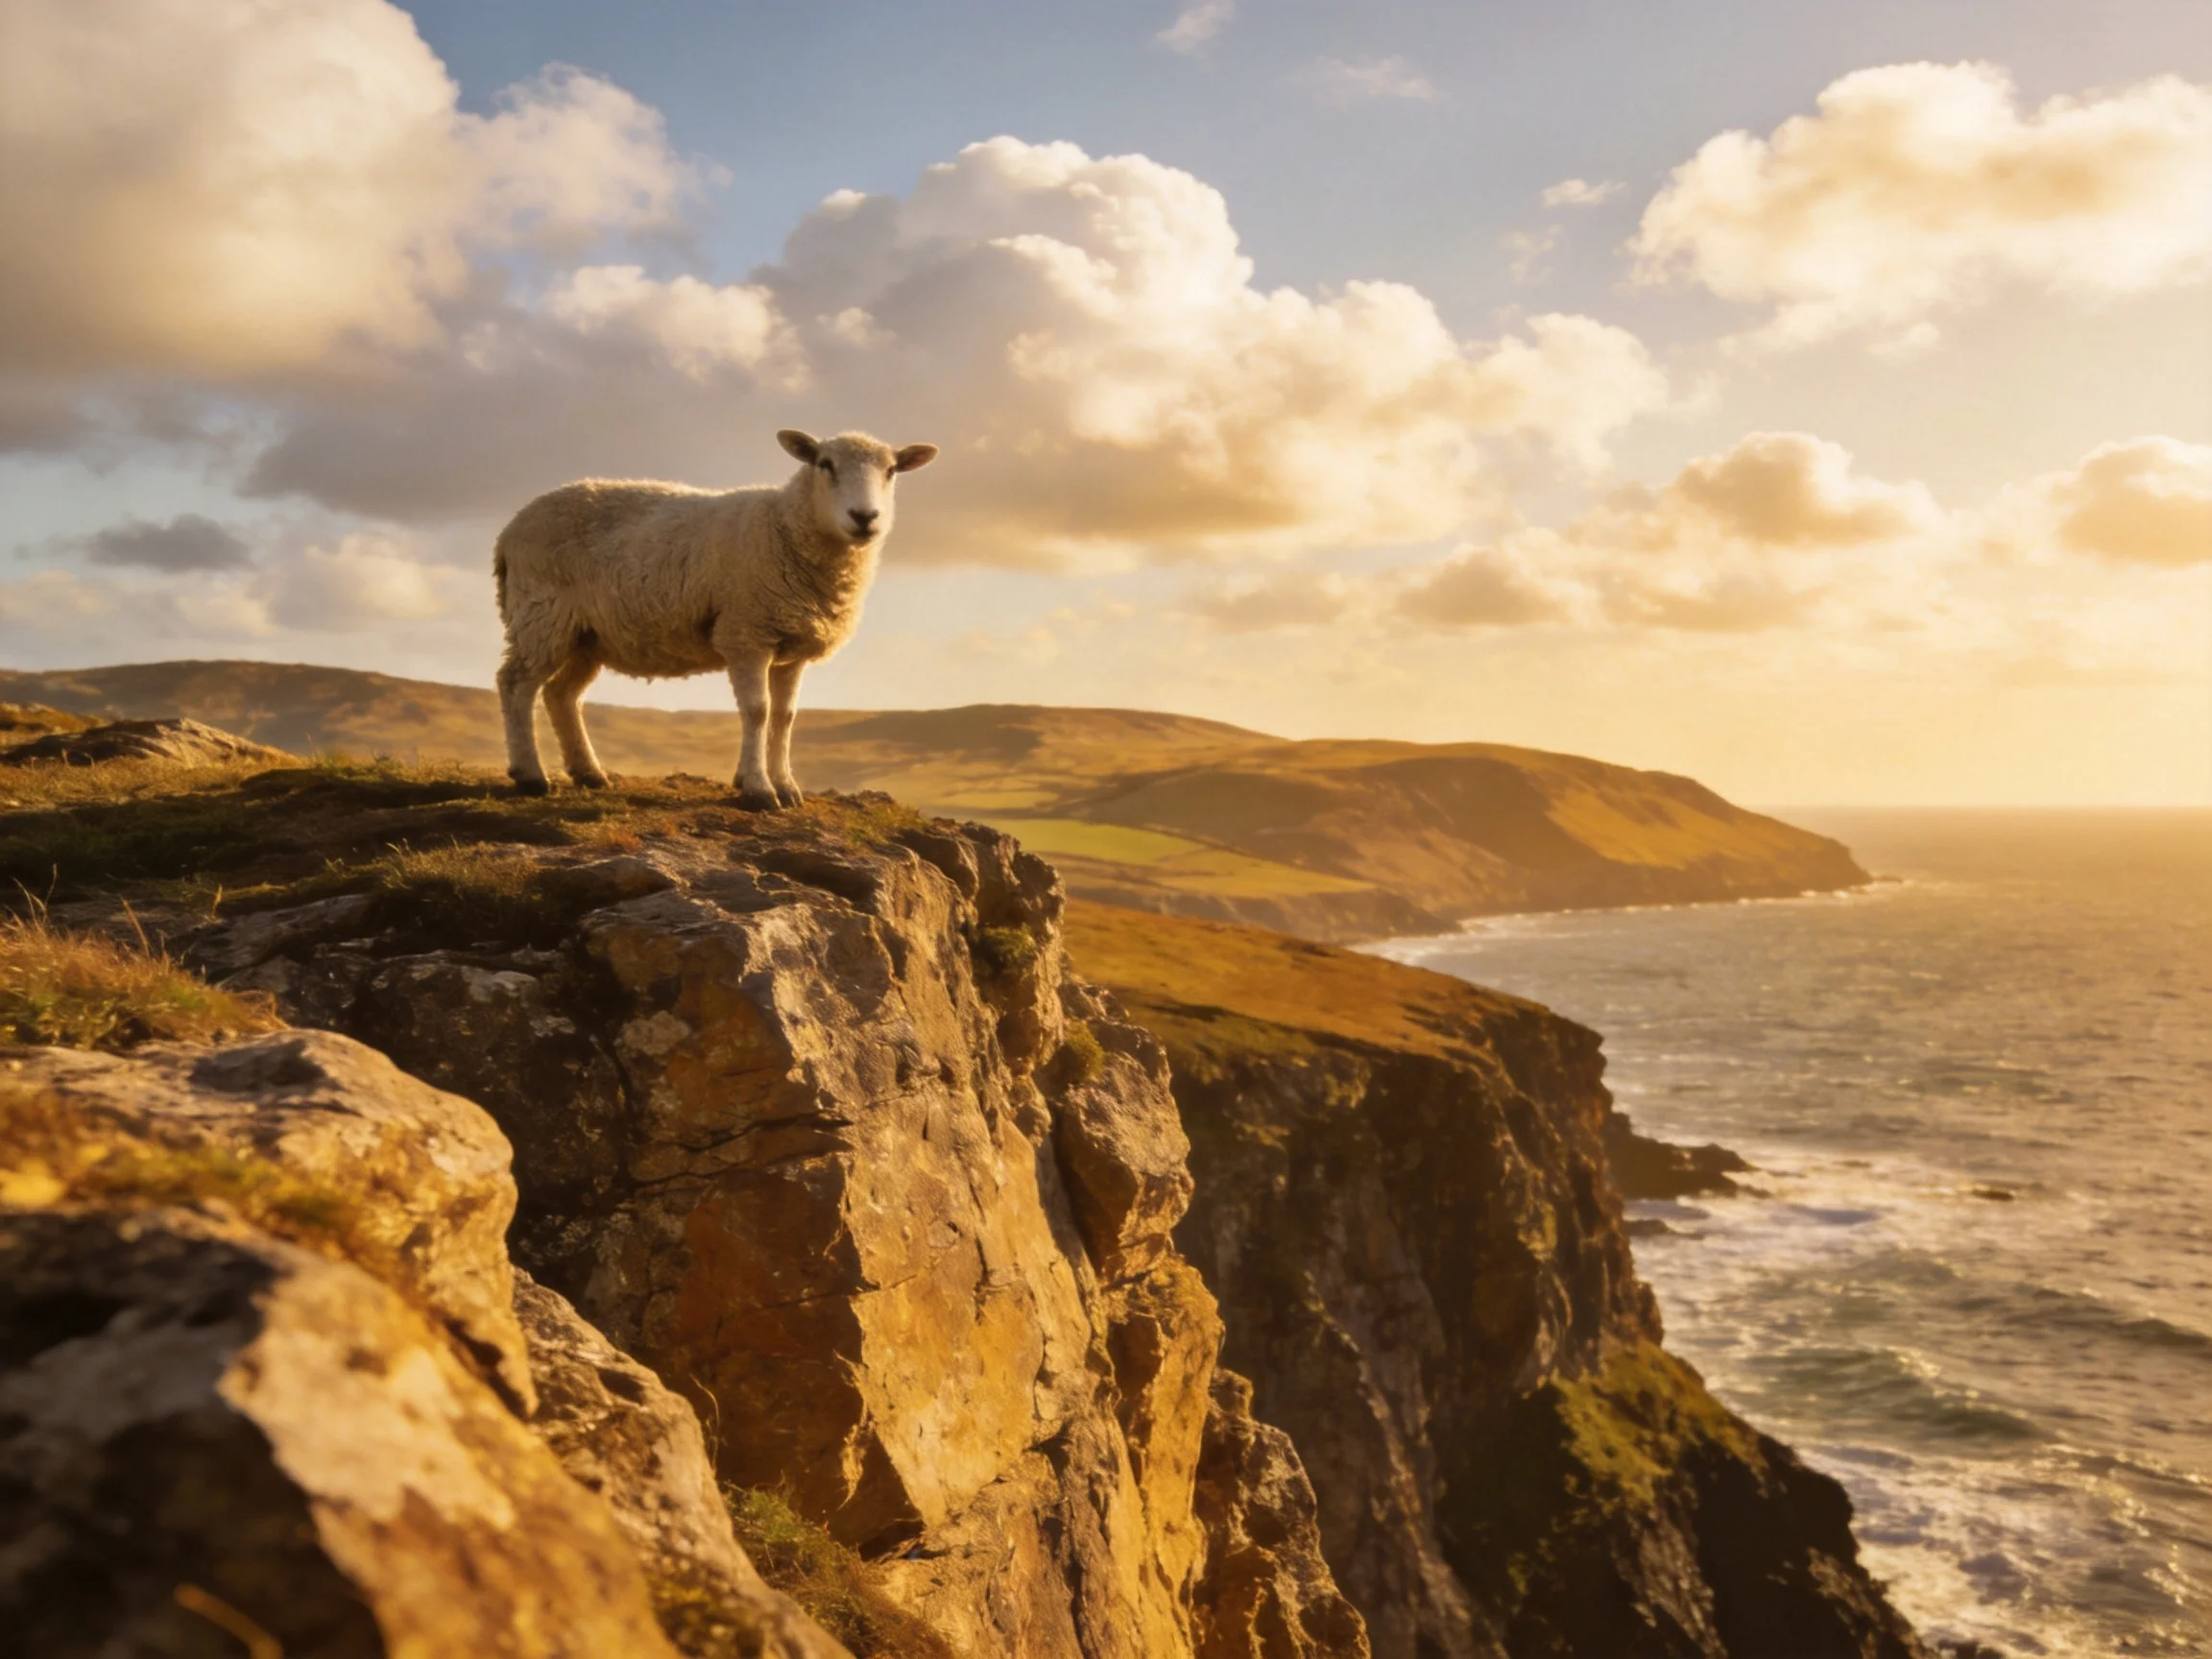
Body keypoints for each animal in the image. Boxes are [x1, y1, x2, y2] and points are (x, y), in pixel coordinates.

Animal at [492, 428, 937, 807]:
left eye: (891, 470)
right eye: (824, 464)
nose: (864, 517)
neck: (784, 525)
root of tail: (509, 530)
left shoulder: (791, 646)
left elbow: (785, 717)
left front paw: (786, 787)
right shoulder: (746, 633)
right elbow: (757, 711)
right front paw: (759, 790)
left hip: (585, 635)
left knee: (561, 694)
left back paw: (589, 774)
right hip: (542, 615)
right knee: (516, 684)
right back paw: (531, 776)